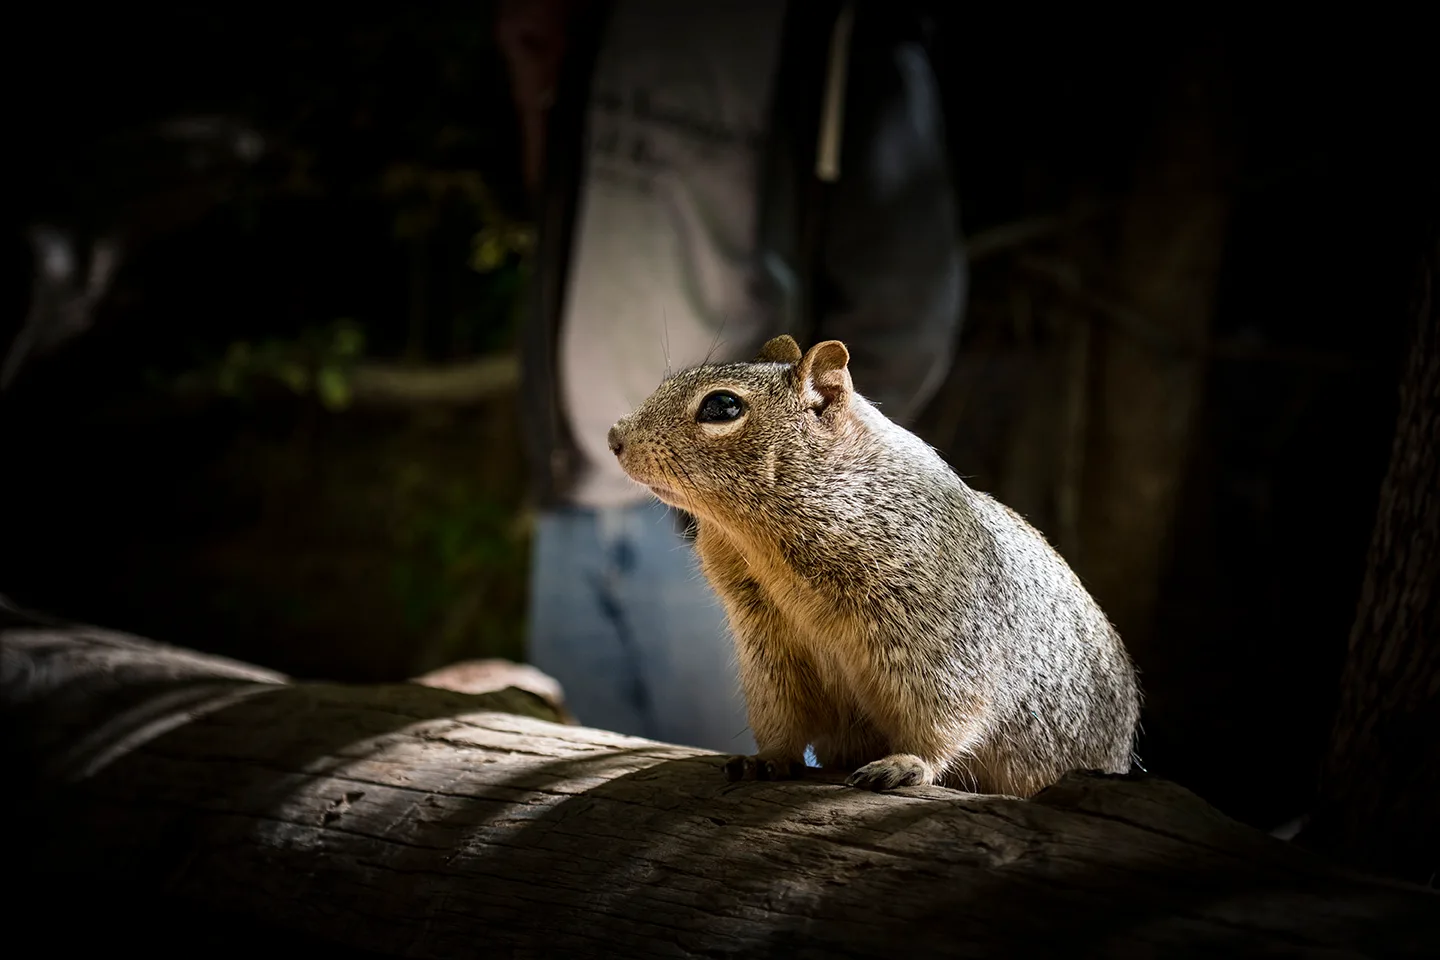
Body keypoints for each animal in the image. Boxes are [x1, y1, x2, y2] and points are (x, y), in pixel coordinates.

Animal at [606, 335, 1140, 797]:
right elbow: (782, 716)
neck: (760, 547)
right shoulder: (768, 645)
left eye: (722, 407)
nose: (614, 436)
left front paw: (908, 763)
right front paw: (767, 759)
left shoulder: (936, 639)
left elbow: (944, 715)